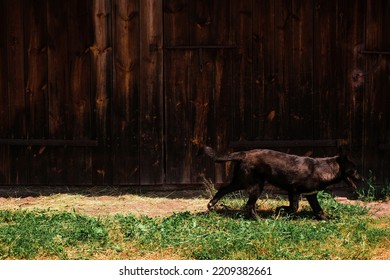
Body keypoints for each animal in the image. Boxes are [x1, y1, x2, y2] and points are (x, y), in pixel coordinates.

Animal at [201, 145, 362, 220]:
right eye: (354, 170)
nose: (363, 179)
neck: (323, 169)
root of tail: (244, 153)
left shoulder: (310, 195)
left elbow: (318, 210)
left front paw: (327, 220)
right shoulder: (294, 190)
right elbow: (294, 207)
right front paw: (281, 210)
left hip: (241, 181)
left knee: (223, 188)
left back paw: (211, 204)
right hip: (256, 185)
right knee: (249, 205)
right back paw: (259, 219)